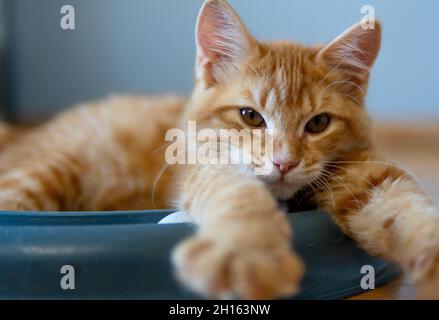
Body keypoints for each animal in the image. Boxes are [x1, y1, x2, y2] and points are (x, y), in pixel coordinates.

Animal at [0, 0, 438, 300]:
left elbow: (405, 204)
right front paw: (245, 250)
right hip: (45, 173)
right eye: (250, 116)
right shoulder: (207, 167)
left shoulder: (362, 173)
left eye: (318, 124)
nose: (284, 162)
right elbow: (237, 194)